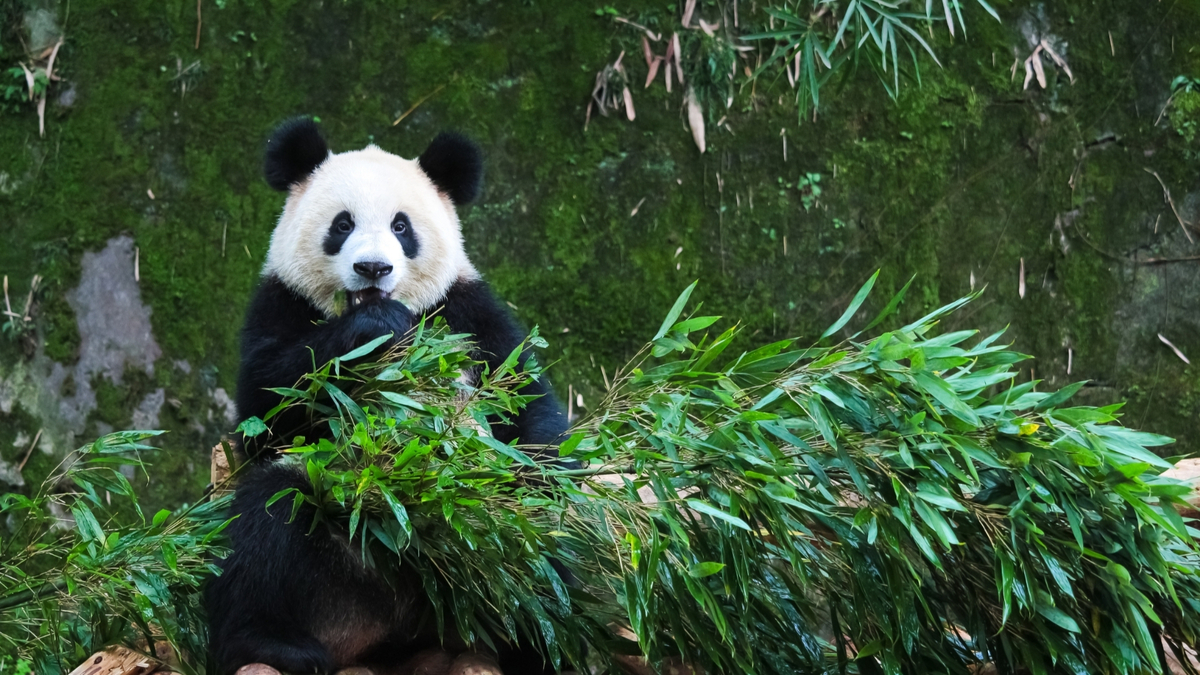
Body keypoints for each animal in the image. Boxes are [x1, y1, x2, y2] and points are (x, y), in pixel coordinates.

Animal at [205, 118, 571, 672]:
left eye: (402, 227)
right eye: (342, 225)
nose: (373, 269)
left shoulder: (466, 311)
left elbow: (525, 402)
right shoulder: (280, 302)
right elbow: (267, 407)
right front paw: (376, 328)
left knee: (542, 557)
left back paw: (538, 639)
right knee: (264, 524)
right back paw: (272, 643)